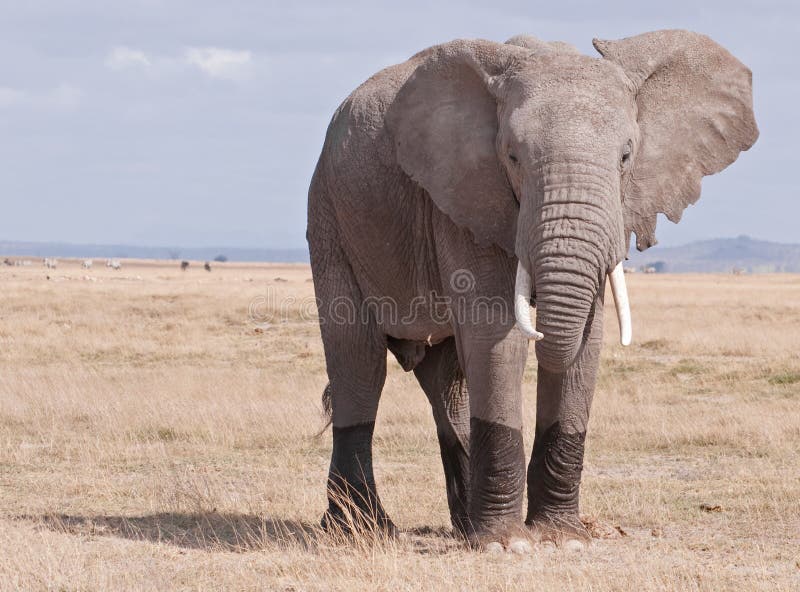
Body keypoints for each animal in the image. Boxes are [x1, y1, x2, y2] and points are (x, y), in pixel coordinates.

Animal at [304, 28, 756, 552]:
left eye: (626, 155)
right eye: (513, 157)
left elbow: (586, 339)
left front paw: (562, 538)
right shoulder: (464, 195)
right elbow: (497, 337)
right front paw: (507, 544)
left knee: (446, 381)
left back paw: (461, 525)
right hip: (330, 216)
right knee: (359, 363)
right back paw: (362, 530)